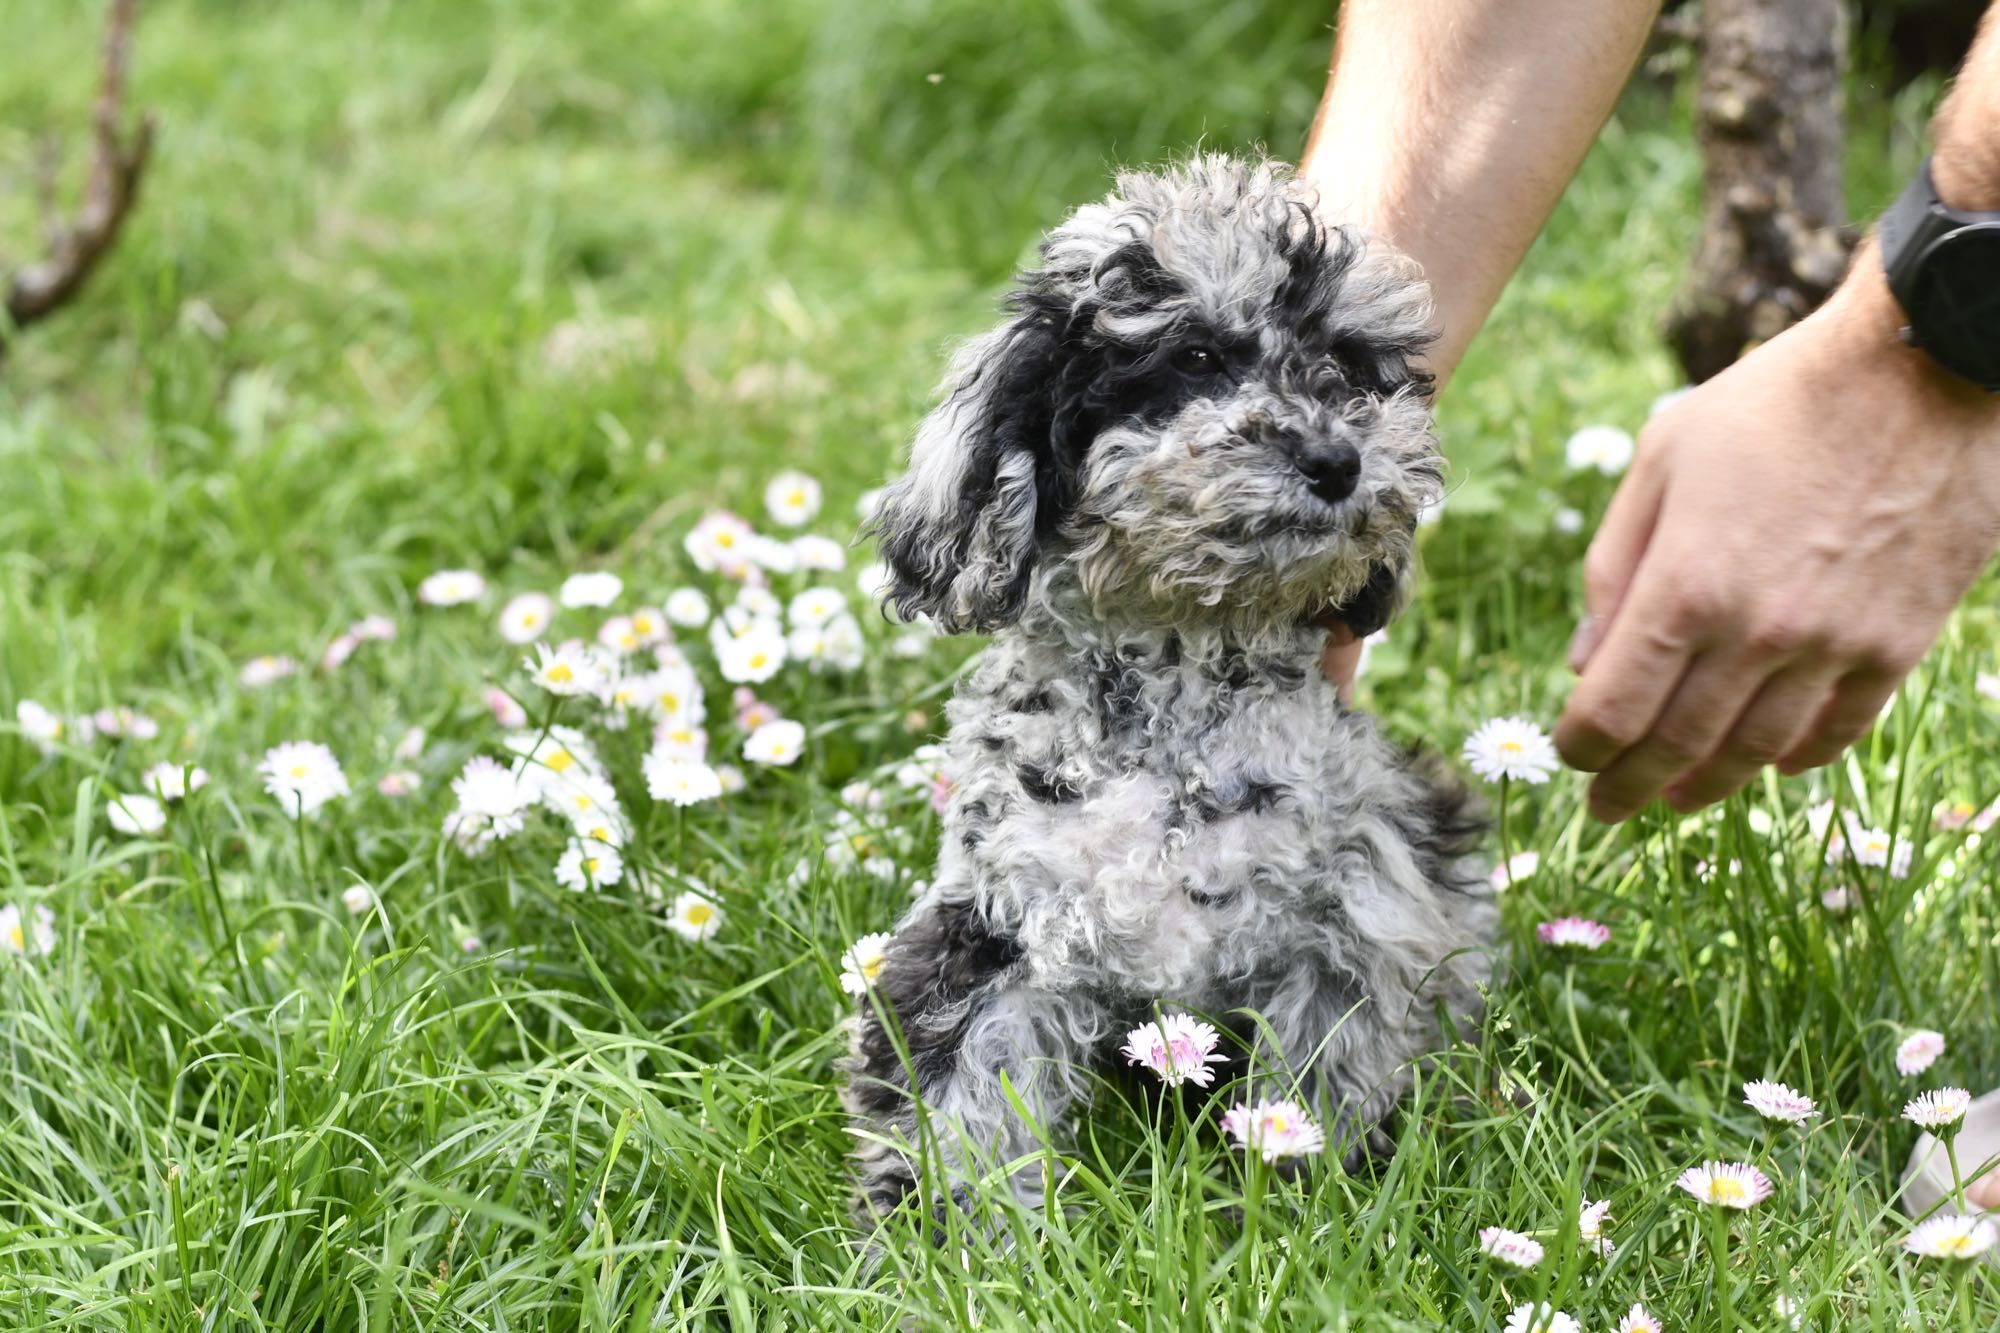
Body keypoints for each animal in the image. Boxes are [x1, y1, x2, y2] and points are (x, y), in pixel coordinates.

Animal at [848, 156, 1504, 1224]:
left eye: (1350, 362)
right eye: (1195, 355)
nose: (1337, 459)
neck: (1174, 709)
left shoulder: (1356, 920)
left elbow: (1316, 1093)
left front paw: (1293, 1218)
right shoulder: (989, 933)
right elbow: (963, 1110)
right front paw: (958, 1244)